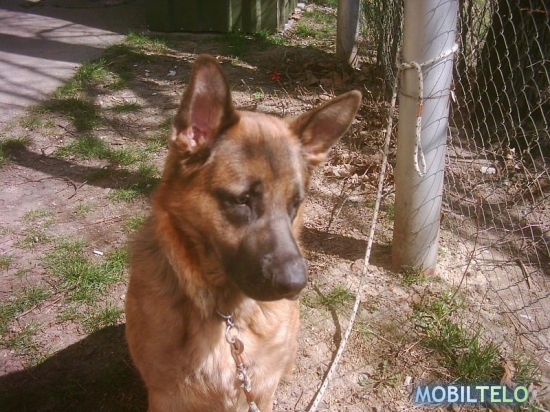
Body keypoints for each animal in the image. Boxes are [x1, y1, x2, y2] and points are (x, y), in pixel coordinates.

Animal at [125, 54, 361, 412]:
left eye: (295, 204)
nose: (296, 285)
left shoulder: (260, 393)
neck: (224, 316)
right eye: (242, 200)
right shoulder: (165, 397)